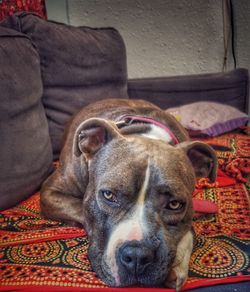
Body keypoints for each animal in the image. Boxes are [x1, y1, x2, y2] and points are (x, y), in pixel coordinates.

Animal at [40, 98, 217, 290]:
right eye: (108, 195)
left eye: (174, 204)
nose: (137, 256)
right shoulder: (51, 192)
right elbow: (80, 210)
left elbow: (188, 231)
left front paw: (177, 264)